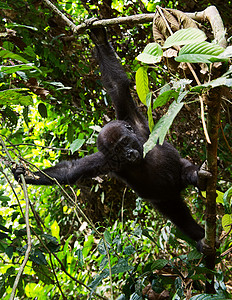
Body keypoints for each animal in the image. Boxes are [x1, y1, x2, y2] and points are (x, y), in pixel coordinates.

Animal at [13, 27, 209, 248]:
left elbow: (117, 86)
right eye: (118, 152)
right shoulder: (105, 161)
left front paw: (99, 40)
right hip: (166, 200)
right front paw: (28, 175)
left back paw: (198, 178)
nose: (130, 154)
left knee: (187, 171)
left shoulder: (134, 122)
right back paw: (198, 235)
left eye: (125, 142)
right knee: (178, 215)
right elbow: (70, 171)